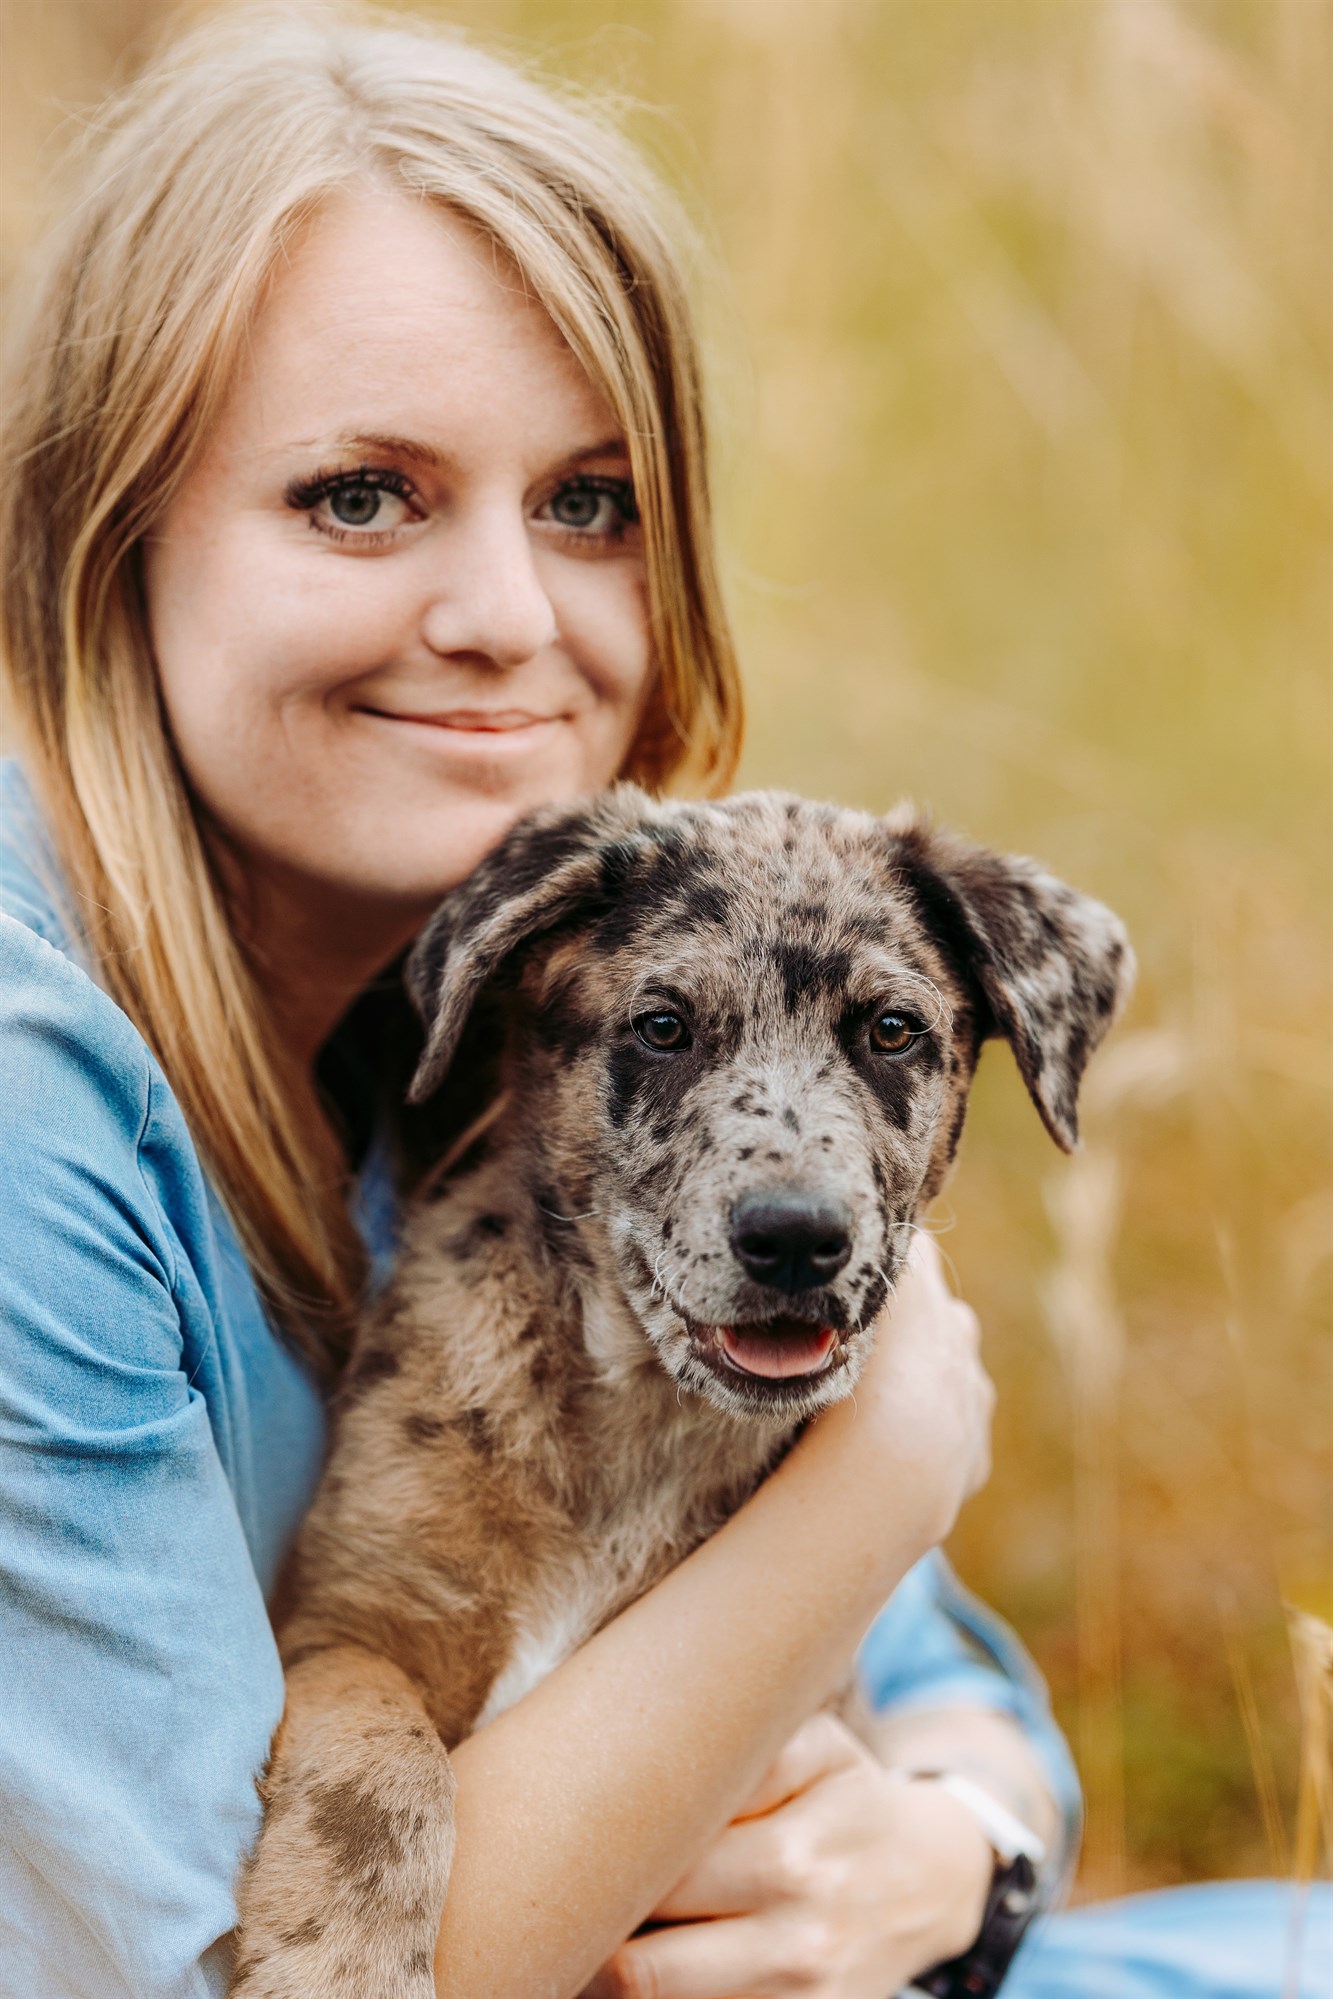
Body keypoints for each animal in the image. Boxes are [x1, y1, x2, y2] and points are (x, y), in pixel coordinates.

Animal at [234, 787, 1135, 1991]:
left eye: (891, 1031)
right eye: (662, 1027)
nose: (795, 1238)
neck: (640, 1419)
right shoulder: (348, 1625)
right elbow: (378, 1778)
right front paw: (341, 1965)